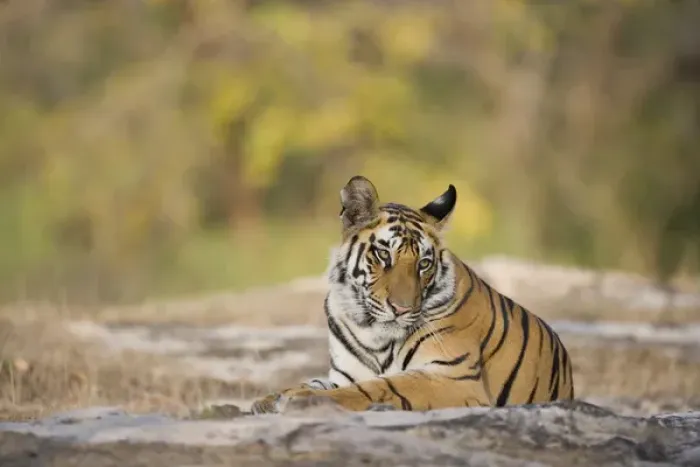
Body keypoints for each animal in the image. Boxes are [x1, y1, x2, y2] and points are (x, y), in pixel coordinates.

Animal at [251, 175, 575, 414]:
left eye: (424, 264)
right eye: (384, 255)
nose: (402, 309)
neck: (373, 333)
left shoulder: (454, 377)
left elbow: (380, 387)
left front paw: (300, 399)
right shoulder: (346, 374)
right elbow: (318, 381)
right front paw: (272, 397)